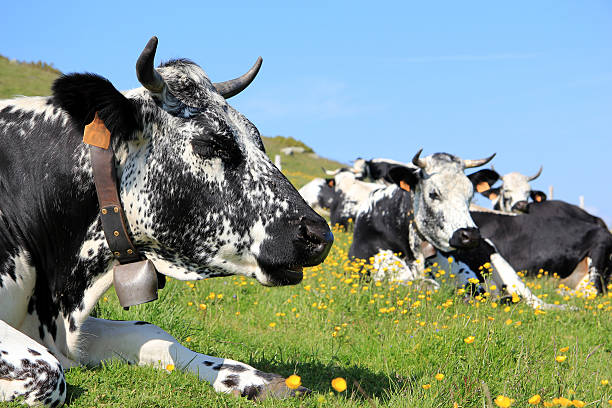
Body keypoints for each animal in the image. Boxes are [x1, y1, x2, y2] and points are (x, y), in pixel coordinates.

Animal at [0, 36, 332, 406]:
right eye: (212, 143)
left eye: (258, 140)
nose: (320, 234)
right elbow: (47, 369)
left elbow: (155, 333)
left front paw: (260, 380)